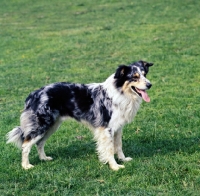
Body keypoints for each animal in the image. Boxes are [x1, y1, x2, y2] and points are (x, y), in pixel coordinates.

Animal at [6, 60, 153, 170]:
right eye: (135, 77)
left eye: (145, 74)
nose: (149, 85)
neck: (121, 92)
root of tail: (33, 94)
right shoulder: (106, 129)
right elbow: (110, 149)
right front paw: (115, 166)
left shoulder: (118, 127)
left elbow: (118, 145)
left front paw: (123, 159)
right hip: (41, 125)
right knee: (26, 144)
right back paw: (26, 166)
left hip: (52, 126)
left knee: (39, 143)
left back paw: (44, 158)